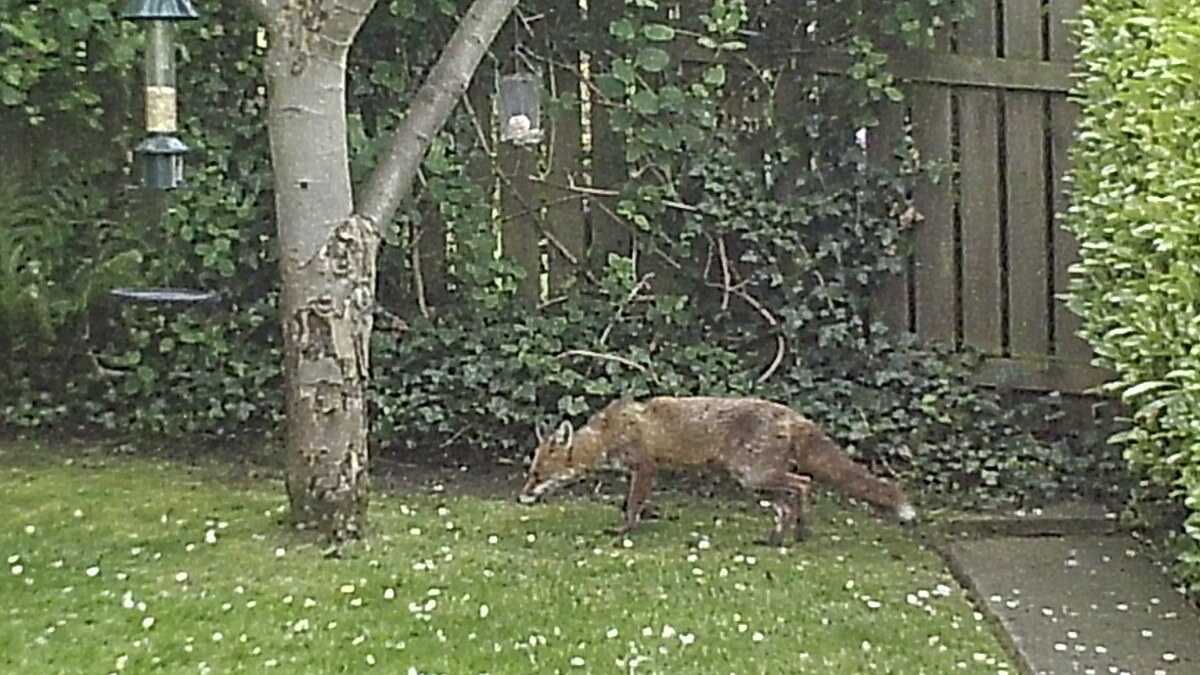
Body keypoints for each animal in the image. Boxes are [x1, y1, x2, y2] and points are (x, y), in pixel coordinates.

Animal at [518, 396, 916, 545]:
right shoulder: (641, 471)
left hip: (754, 475)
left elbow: (631, 506)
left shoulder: (645, 467)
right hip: (757, 480)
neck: (608, 432)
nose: (521, 497)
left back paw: (791, 535)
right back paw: (787, 535)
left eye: (536, 476)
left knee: (802, 485)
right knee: (792, 496)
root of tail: (793, 415)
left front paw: (624, 532)